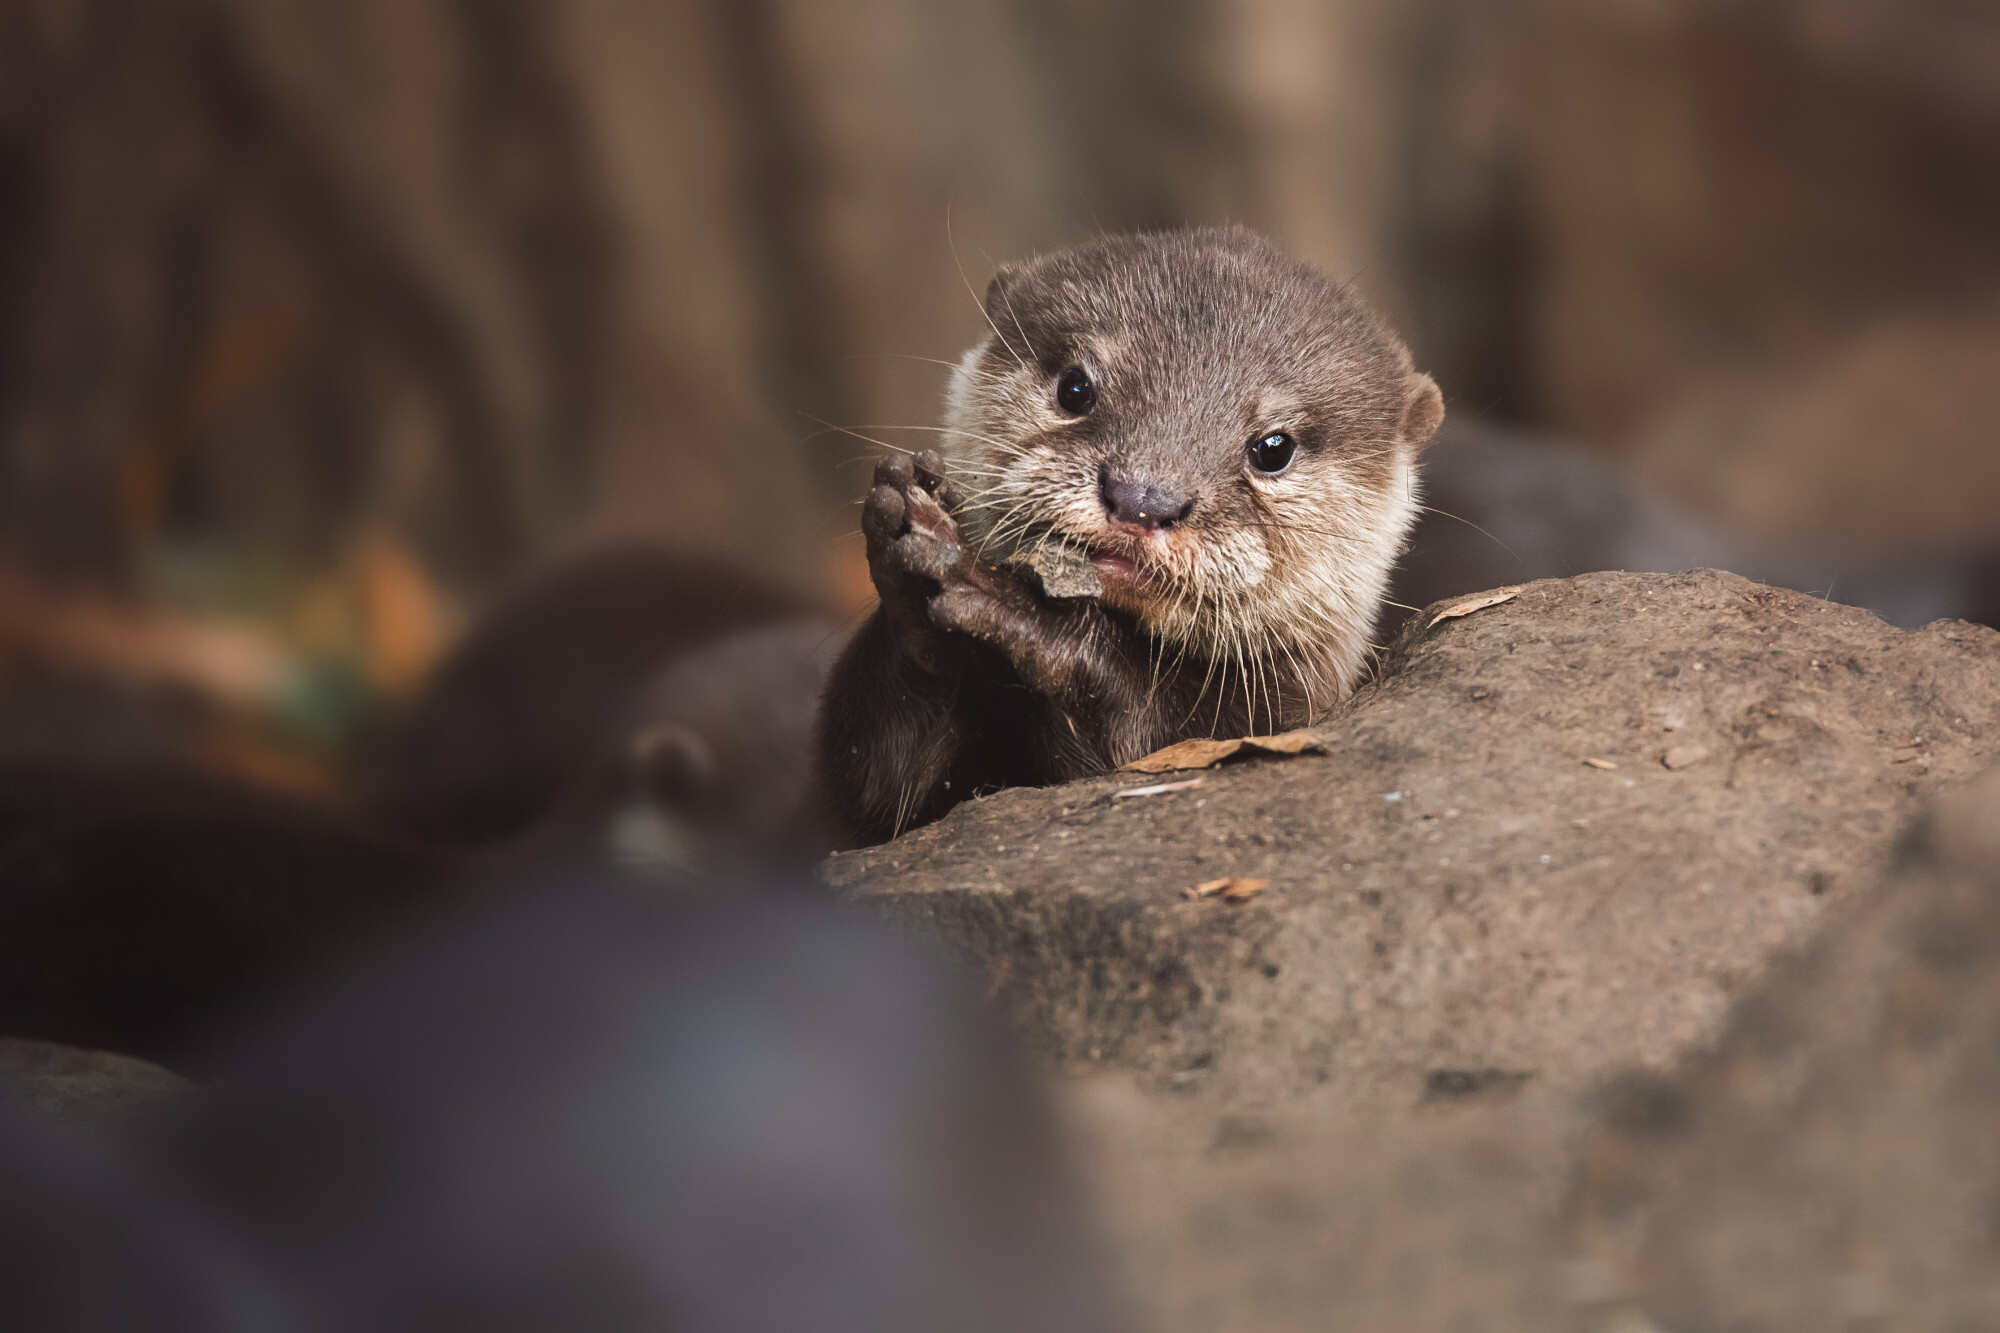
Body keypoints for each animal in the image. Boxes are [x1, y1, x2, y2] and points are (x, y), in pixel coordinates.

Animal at [817, 227, 1444, 845]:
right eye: (1075, 388)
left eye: (1274, 447)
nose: (1143, 497)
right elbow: (875, 790)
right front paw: (915, 558)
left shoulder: (1281, 712)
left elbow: (1150, 738)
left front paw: (1015, 607)